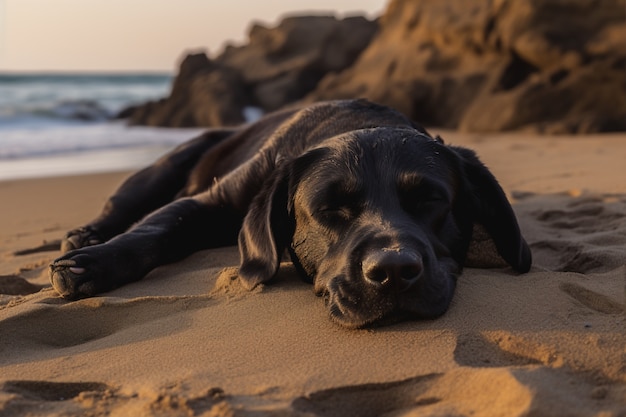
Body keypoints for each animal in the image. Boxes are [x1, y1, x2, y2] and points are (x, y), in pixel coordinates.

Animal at [48, 99, 528, 326]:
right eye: (329, 208)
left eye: (430, 201)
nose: (393, 271)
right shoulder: (212, 200)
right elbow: (157, 230)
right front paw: (91, 263)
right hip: (163, 167)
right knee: (122, 206)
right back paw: (87, 237)